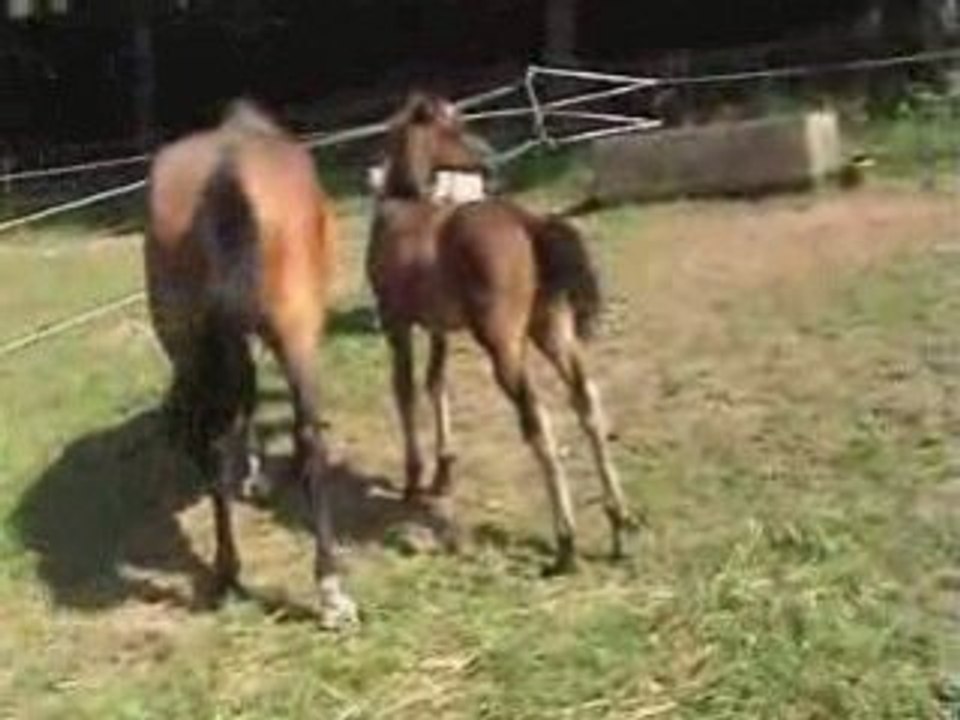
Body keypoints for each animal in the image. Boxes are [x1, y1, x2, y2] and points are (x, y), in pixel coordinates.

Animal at [145, 100, 356, 628]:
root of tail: (227, 171)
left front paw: (254, 472)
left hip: (186, 337)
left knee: (215, 447)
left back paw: (226, 571)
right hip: (297, 331)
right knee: (309, 439)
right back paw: (331, 591)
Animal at [367, 93, 637, 574]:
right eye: (454, 128)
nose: (491, 161)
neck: (403, 207)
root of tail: (528, 222)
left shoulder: (396, 322)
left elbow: (405, 390)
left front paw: (413, 481)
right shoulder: (437, 328)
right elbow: (436, 384)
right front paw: (442, 474)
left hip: (504, 345)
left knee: (538, 421)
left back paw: (566, 544)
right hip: (553, 330)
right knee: (586, 400)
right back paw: (619, 525)